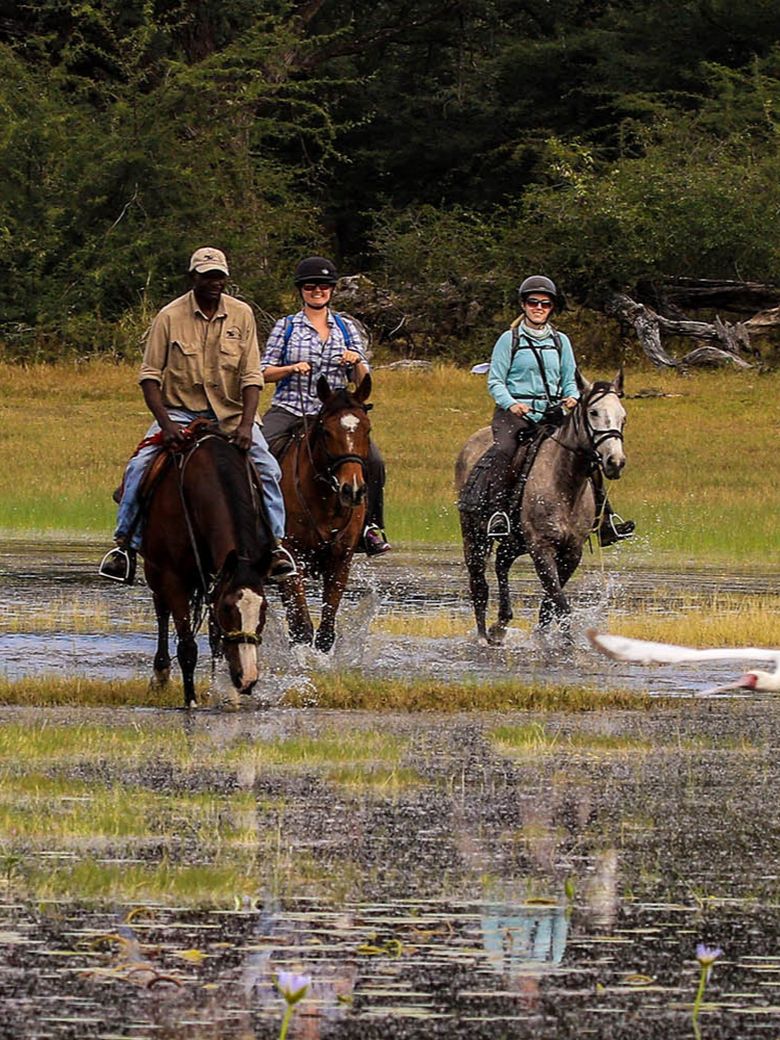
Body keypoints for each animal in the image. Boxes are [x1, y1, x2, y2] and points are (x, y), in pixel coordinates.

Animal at [142, 424, 272, 707]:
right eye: (228, 609)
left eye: (264, 609)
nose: (248, 678)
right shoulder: (172, 577)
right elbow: (188, 646)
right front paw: (190, 701)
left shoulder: (218, 578)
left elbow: (217, 641)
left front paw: (226, 693)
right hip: (156, 572)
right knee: (161, 610)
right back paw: (161, 673)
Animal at [278, 372, 374, 648]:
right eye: (326, 431)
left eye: (367, 429)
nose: (352, 490)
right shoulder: (292, 556)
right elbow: (302, 627)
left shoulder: (341, 559)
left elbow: (325, 633)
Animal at [457, 370, 628, 644]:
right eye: (593, 412)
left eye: (623, 416)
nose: (615, 462)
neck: (564, 485)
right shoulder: (541, 548)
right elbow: (561, 603)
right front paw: (565, 644)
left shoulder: (571, 552)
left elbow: (550, 604)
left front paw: (544, 637)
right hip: (474, 536)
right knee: (479, 585)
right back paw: (484, 635)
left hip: (514, 541)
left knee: (501, 563)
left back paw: (501, 624)